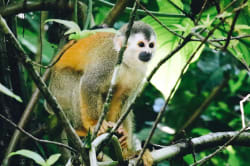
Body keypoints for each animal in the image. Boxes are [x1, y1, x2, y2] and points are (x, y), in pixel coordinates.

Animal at [46, 21, 156, 165]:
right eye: (141, 44)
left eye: (151, 45)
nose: (148, 52)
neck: (126, 61)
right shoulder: (110, 60)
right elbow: (89, 84)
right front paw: (94, 124)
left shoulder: (139, 72)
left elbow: (121, 98)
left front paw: (120, 136)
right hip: (59, 89)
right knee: (78, 82)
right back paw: (81, 130)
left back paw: (129, 152)